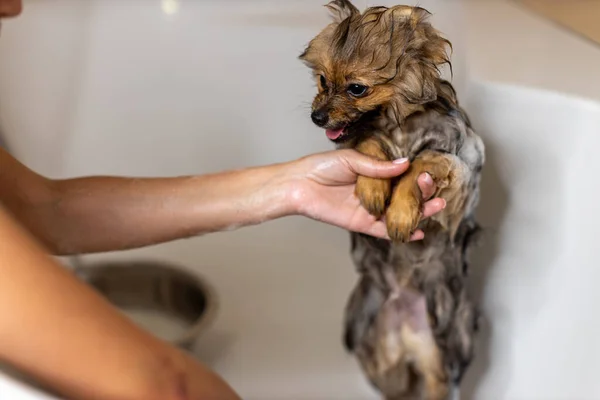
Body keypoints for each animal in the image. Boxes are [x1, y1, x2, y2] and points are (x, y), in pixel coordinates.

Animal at [298, 1, 486, 398]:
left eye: (356, 88)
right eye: (322, 80)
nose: (317, 116)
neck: (398, 128)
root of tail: (406, 313)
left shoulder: (461, 171)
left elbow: (421, 164)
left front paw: (400, 212)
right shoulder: (364, 144)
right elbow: (370, 145)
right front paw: (373, 187)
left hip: (442, 366)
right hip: (381, 361)